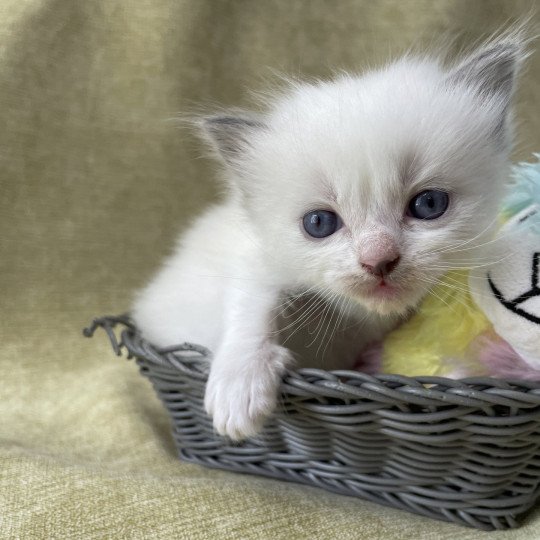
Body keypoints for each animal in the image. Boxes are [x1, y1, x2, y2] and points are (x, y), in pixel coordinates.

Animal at [133, 32, 524, 438]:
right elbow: (252, 304)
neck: (364, 318)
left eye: (429, 204)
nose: (378, 260)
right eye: (319, 223)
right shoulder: (257, 258)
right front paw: (238, 388)